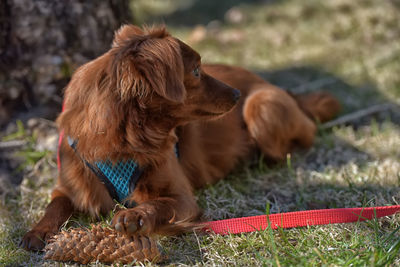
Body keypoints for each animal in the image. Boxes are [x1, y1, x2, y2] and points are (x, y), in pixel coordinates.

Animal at [19, 24, 338, 251]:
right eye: (196, 70)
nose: (236, 94)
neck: (125, 138)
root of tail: (285, 91)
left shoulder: (182, 197)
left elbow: (159, 204)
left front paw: (135, 216)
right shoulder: (70, 185)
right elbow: (54, 205)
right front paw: (39, 230)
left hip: (260, 106)